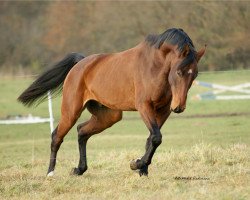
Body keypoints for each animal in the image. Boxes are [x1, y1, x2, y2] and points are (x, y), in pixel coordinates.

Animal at [17, 27, 205, 177]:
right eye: (179, 72)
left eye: (195, 74)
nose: (179, 107)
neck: (155, 65)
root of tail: (80, 64)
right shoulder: (144, 106)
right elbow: (156, 137)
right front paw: (136, 164)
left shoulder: (163, 110)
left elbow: (152, 139)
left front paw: (142, 169)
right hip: (71, 111)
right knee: (57, 136)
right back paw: (50, 173)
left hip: (108, 116)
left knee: (82, 131)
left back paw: (79, 169)